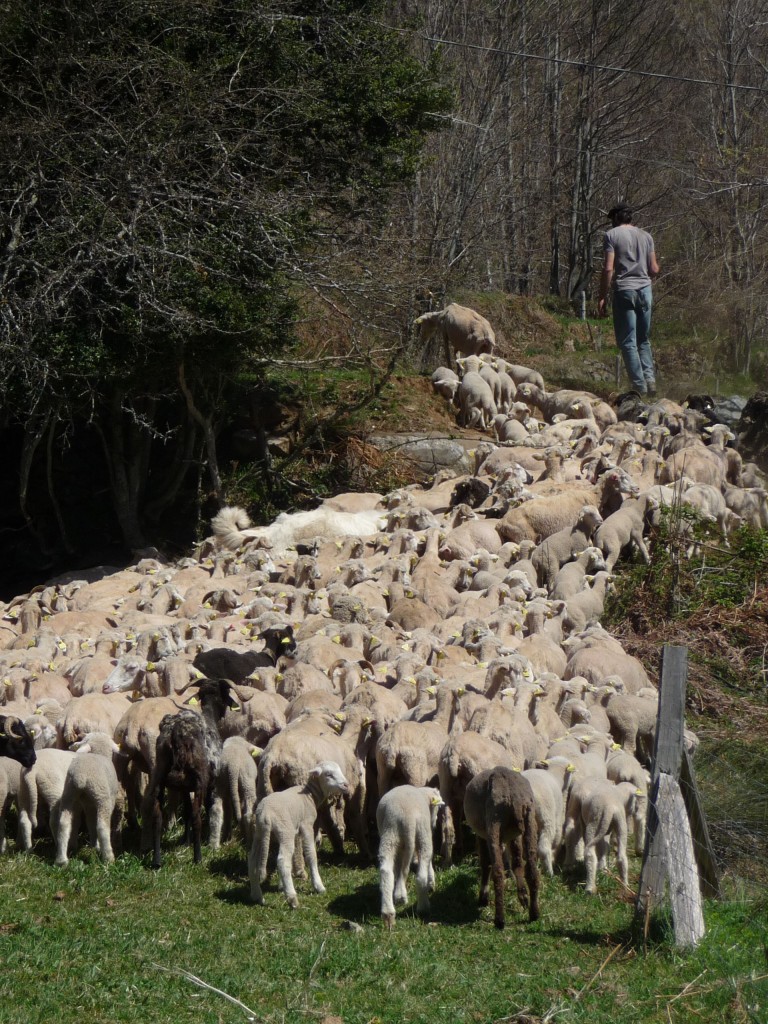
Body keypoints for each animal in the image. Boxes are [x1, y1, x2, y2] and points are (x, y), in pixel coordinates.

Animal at [249, 761, 352, 905]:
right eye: (328, 774)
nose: (346, 785)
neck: (310, 794)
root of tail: (265, 814)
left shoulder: (295, 829)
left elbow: (294, 854)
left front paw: (282, 885)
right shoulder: (306, 824)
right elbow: (310, 854)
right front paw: (318, 886)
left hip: (260, 833)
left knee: (252, 860)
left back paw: (256, 895)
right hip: (284, 829)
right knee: (282, 861)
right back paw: (292, 898)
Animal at [378, 782, 444, 929]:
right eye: (437, 808)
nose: (435, 823)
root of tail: (407, 817)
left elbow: (398, 869)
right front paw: (431, 884)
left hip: (390, 834)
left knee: (386, 872)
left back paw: (389, 913)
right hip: (422, 833)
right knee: (421, 875)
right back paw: (423, 908)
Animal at [462, 770, 540, 929]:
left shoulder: (482, 834)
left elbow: (486, 864)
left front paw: (483, 897)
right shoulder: (514, 835)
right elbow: (517, 862)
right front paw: (523, 895)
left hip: (494, 821)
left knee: (497, 871)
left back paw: (499, 920)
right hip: (529, 819)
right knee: (531, 870)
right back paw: (534, 913)